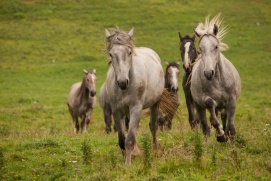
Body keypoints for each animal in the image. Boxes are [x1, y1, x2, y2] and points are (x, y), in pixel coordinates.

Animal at [105, 27, 175, 165]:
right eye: (111, 54)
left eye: (129, 52)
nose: (122, 82)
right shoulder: (116, 111)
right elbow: (122, 139)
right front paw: (127, 157)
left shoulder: (136, 107)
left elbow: (129, 140)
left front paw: (128, 164)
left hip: (154, 104)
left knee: (153, 127)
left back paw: (155, 151)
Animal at [191, 13, 242, 143]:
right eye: (201, 48)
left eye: (216, 46)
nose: (209, 73)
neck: (218, 81)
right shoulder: (206, 100)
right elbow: (213, 118)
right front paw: (220, 135)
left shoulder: (231, 101)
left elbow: (230, 128)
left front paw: (231, 144)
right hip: (199, 107)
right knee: (206, 128)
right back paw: (207, 144)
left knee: (224, 118)